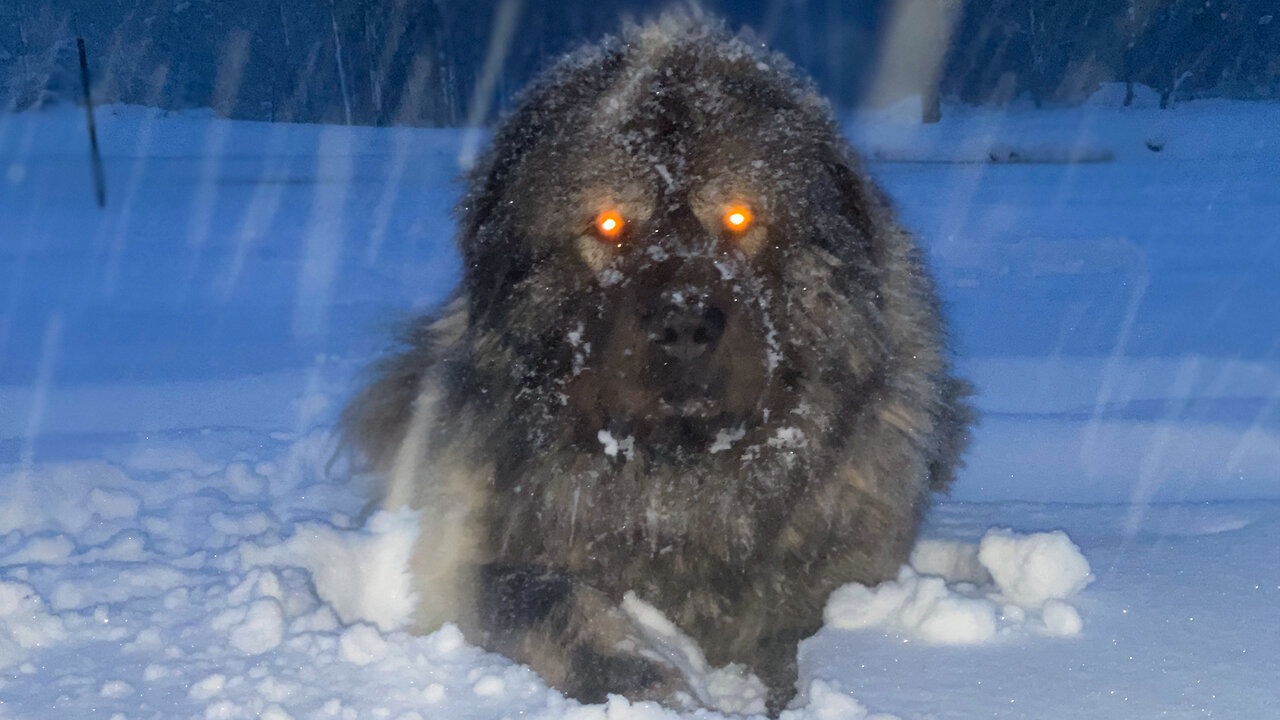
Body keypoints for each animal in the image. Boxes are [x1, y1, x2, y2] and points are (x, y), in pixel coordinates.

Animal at [345, 14, 972, 712]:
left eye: (738, 217)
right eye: (609, 224)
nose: (684, 323)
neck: (676, 481)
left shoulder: (839, 571)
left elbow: (796, 636)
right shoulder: (465, 562)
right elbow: (541, 598)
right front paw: (643, 675)